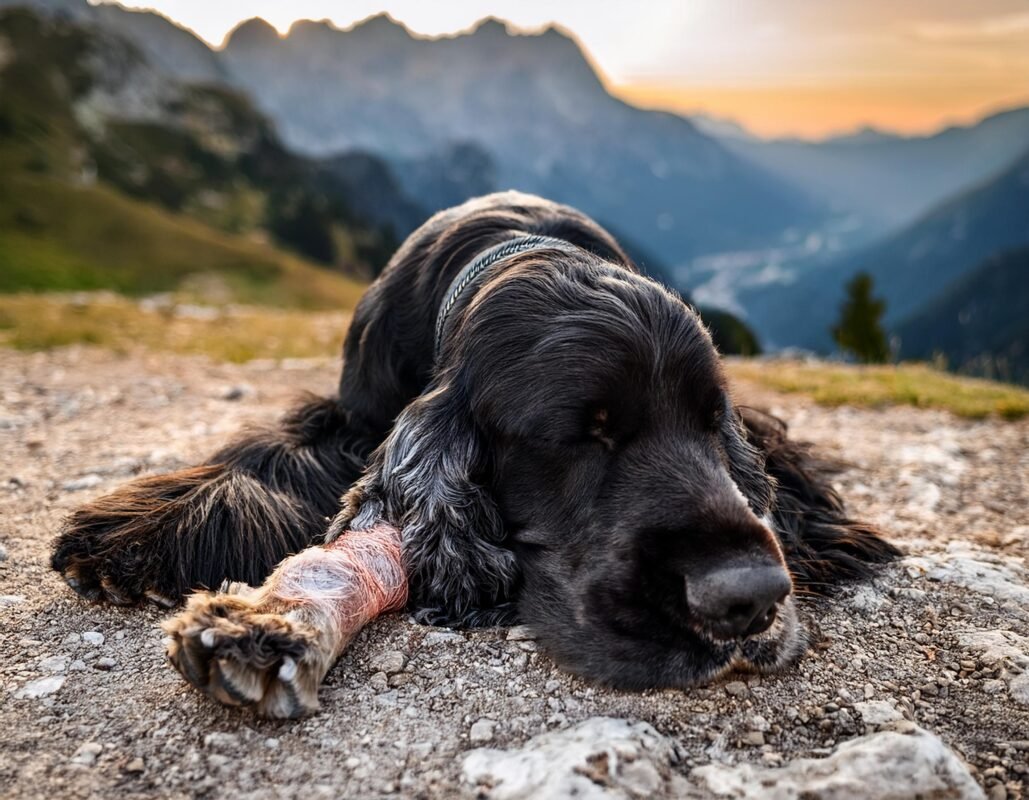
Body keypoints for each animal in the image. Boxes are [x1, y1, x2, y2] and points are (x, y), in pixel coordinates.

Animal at [50, 191, 901, 700]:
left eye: (706, 423)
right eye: (583, 434)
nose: (747, 597)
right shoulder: (355, 409)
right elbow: (269, 453)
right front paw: (129, 536)